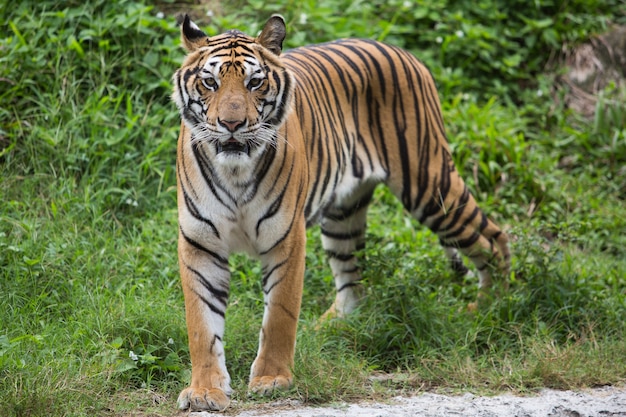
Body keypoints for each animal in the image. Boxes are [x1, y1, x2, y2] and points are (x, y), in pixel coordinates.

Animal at [171, 14, 508, 412]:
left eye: (255, 82)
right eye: (210, 82)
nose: (232, 125)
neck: (235, 170)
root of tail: (402, 51)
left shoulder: (287, 238)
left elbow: (280, 316)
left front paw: (272, 380)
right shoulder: (200, 244)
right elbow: (201, 325)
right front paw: (205, 390)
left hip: (430, 187)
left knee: (494, 238)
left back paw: (491, 308)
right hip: (343, 216)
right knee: (351, 281)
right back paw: (330, 327)